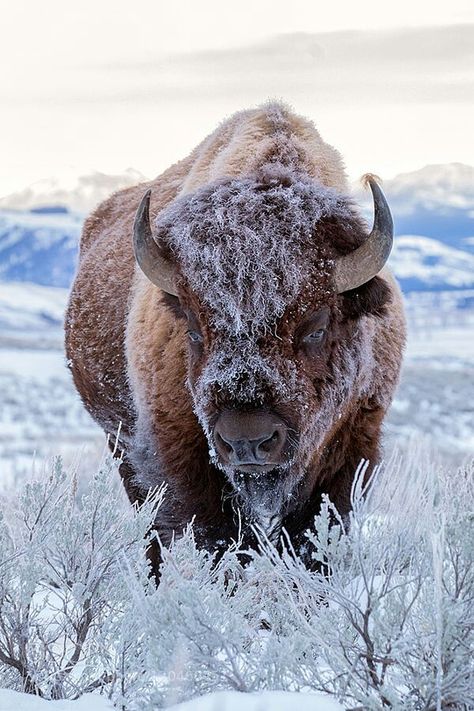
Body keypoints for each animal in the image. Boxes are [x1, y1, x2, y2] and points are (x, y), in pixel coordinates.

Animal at [65, 101, 408, 568]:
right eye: (193, 329)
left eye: (316, 327)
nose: (247, 442)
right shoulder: (180, 460)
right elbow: (216, 540)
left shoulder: (352, 450)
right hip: (121, 445)